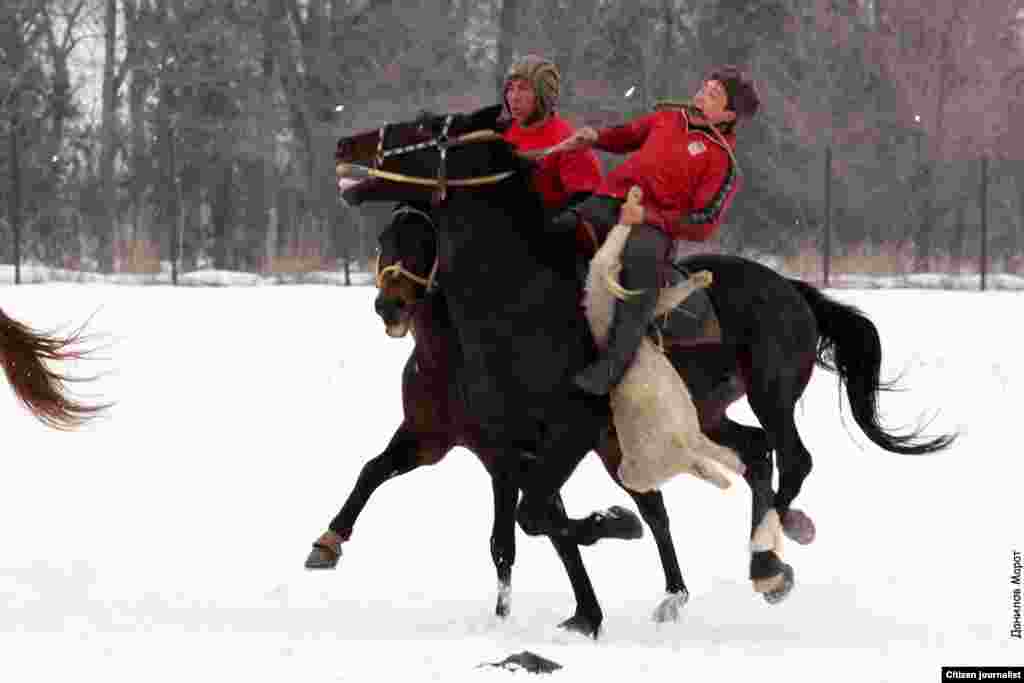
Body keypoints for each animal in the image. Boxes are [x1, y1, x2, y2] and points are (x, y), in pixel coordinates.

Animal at [331, 102, 954, 634]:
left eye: (419, 128)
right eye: (387, 237)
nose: (345, 141)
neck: (518, 298)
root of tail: (794, 290)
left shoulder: (567, 431)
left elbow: (541, 516)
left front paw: (608, 537)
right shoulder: (498, 443)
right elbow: (525, 519)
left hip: (770, 390)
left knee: (792, 459)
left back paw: (768, 559)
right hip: (708, 410)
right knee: (757, 454)